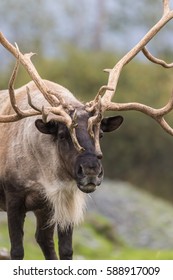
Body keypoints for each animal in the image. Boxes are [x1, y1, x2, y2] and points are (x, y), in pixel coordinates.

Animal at [0, 0, 173, 260]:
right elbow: (17, 251)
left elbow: (65, 250)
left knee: (44, 240)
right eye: (62, 135)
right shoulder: (14, 196)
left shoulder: (60, 200)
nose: (91, 170)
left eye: (100, 134)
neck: (47, 174)